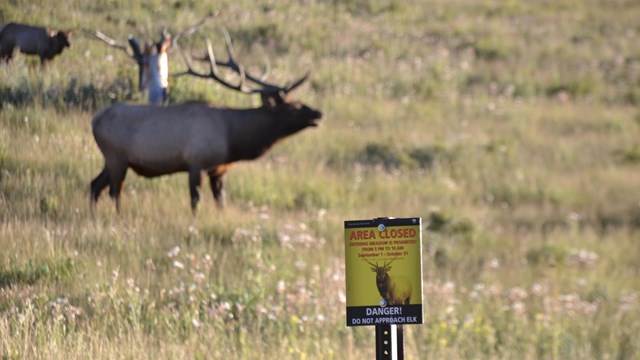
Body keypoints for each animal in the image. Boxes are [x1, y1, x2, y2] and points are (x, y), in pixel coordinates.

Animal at [87, 34, 322, 211]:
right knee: (114, 191)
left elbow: (221, 202)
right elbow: (195, 201)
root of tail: (94, 121)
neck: (233, 139)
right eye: (293, 106)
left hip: (113, 159)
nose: (318, 113)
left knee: (95, 184)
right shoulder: (196, 161)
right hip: (116, 157)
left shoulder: (219, 169)